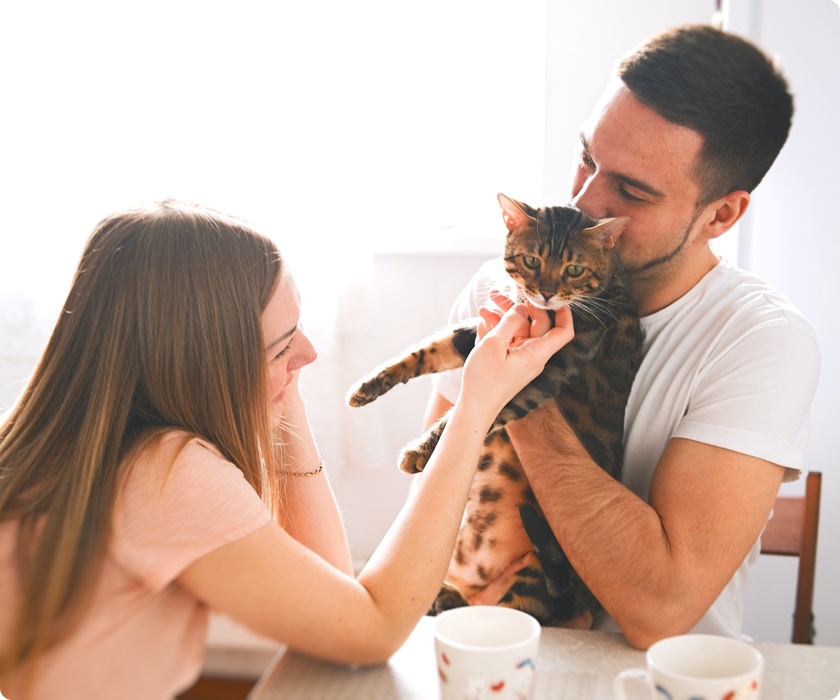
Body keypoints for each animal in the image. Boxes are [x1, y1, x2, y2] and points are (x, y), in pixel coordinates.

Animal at [348, 194, 644, 628]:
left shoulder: (545, 370)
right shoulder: (486, 332)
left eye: (574, 269)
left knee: (516, 616)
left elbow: (471, 409)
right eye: (532, 261)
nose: (546, 293)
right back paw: (442, 596)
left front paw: (421, 451)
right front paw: (368, 385)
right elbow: (428, 349)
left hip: (540, 569)